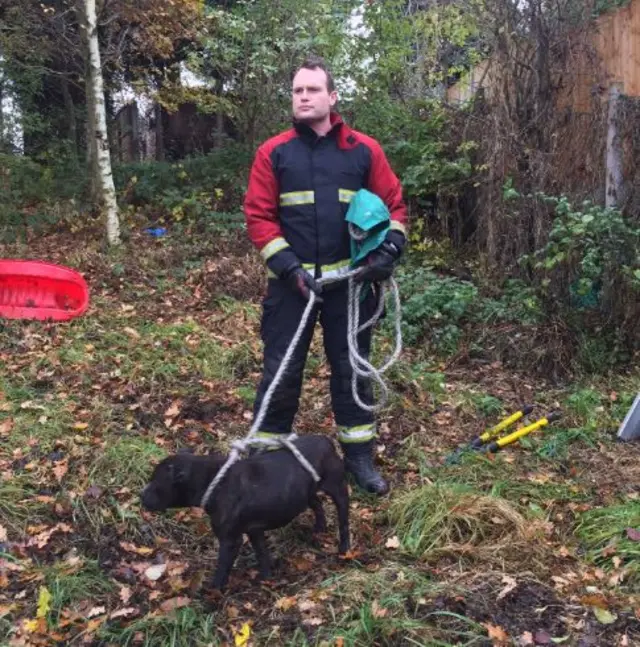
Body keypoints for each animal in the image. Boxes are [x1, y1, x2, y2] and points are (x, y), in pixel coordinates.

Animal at [140, 436, 350, 592]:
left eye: (156, 483)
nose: (140, 495)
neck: (214, 481)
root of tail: (326, 441)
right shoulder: (254, 530)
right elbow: (262, 554)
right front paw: (266, 578)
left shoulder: (230, 540)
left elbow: (222, 568)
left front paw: (213, 592)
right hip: (306, 492)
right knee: (317, 504)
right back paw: (319, 528)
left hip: (337, 489)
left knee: (343, 518)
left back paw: (344, 548)